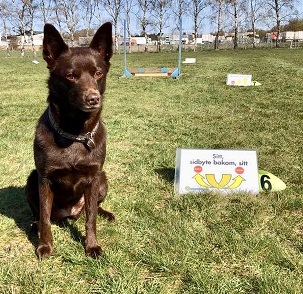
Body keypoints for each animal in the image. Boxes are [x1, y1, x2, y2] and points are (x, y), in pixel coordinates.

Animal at [25, 22, 114, 258]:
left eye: (98, 73)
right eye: (71, 76)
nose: (93, 99)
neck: (75, 134)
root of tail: (69, 214)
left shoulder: (93, 179)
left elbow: (91, 218)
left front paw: (91, 246)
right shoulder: (44, 179)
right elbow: (45, 218)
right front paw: (44, 246)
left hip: (103, 179)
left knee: (92, 210)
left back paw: (106, 213)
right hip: (31, 180)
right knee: (40, 215)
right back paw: (35, 225)